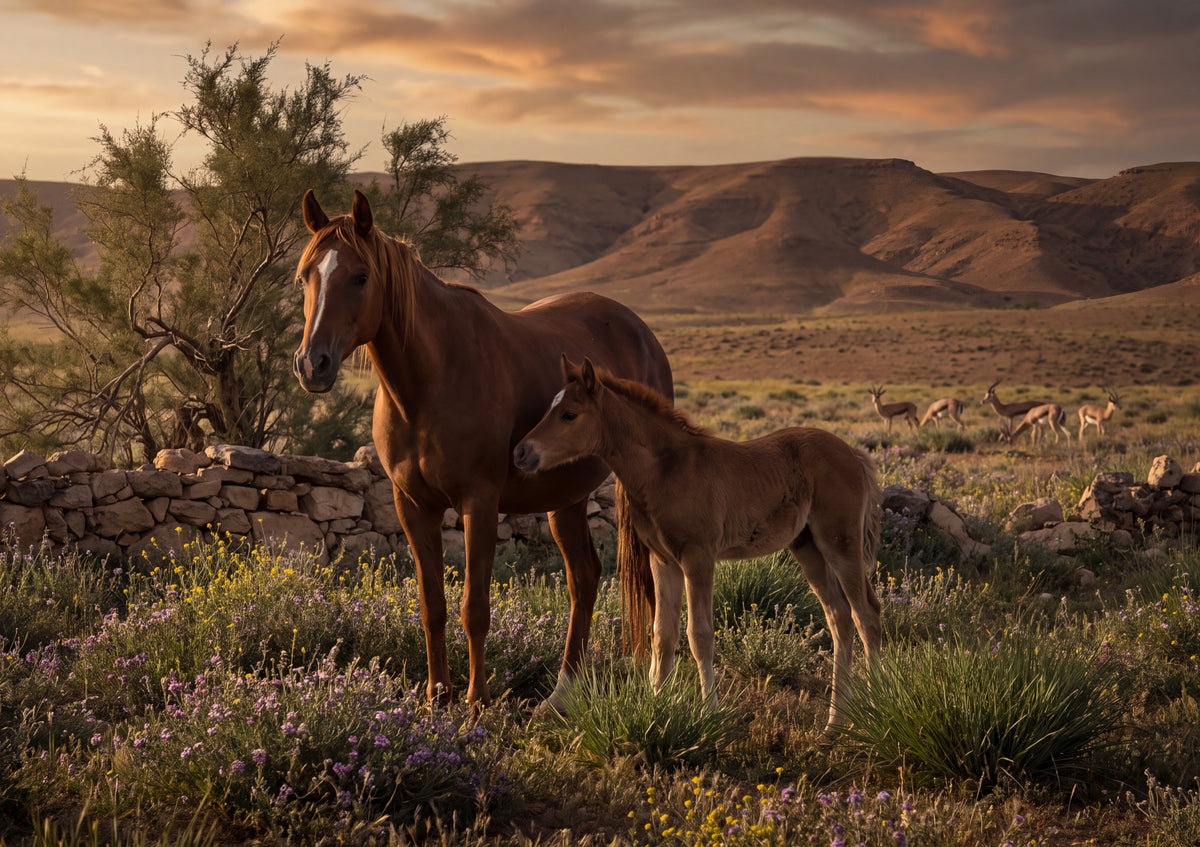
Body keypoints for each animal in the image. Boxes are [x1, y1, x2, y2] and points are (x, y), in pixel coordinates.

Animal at [293, 190, 673, 712]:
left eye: (360, 276)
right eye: (305, 276)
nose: (313, 365)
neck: (430, 383)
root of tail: (643, 334)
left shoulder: (480, 502)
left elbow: (475, 607)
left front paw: (476, 700)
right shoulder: (413, 506)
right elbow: (432, 606)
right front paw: (436, 696)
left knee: (654, 583)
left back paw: (660, 685)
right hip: (566, 499)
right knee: (585, 577)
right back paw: (562, 693)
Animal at [514, 356, 883, 735]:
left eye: (569, 414)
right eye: (550, 408)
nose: (521, 452)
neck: (665, 470)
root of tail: (854, 453)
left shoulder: (698, 557)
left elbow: (699, 635)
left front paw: (709, 715)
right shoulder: (663, 561)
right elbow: (662, 634)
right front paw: (656, 707)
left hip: (840, 542)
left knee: (866, 614)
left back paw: (877, 704)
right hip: (807, 546)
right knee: (839, 617)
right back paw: (834, 724)